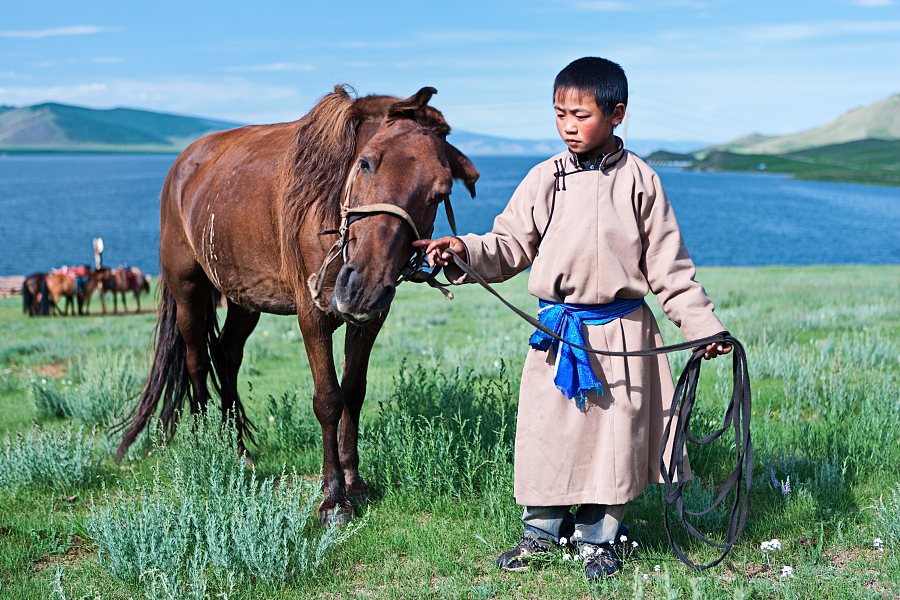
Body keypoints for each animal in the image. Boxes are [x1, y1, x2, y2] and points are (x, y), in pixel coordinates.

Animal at [116, 84, 482, 524]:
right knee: (197, 361)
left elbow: (353, 393)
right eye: (365, 163)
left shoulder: (368, 320)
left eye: (440, 192)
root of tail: (182, 165)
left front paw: (354, 482)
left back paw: (235, 449)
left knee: (227, 355)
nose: (364, 286)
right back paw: (205, 446)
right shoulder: (313, 316)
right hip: (188, 289)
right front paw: (333, 498)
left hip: (245, 299)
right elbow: (327, 400)